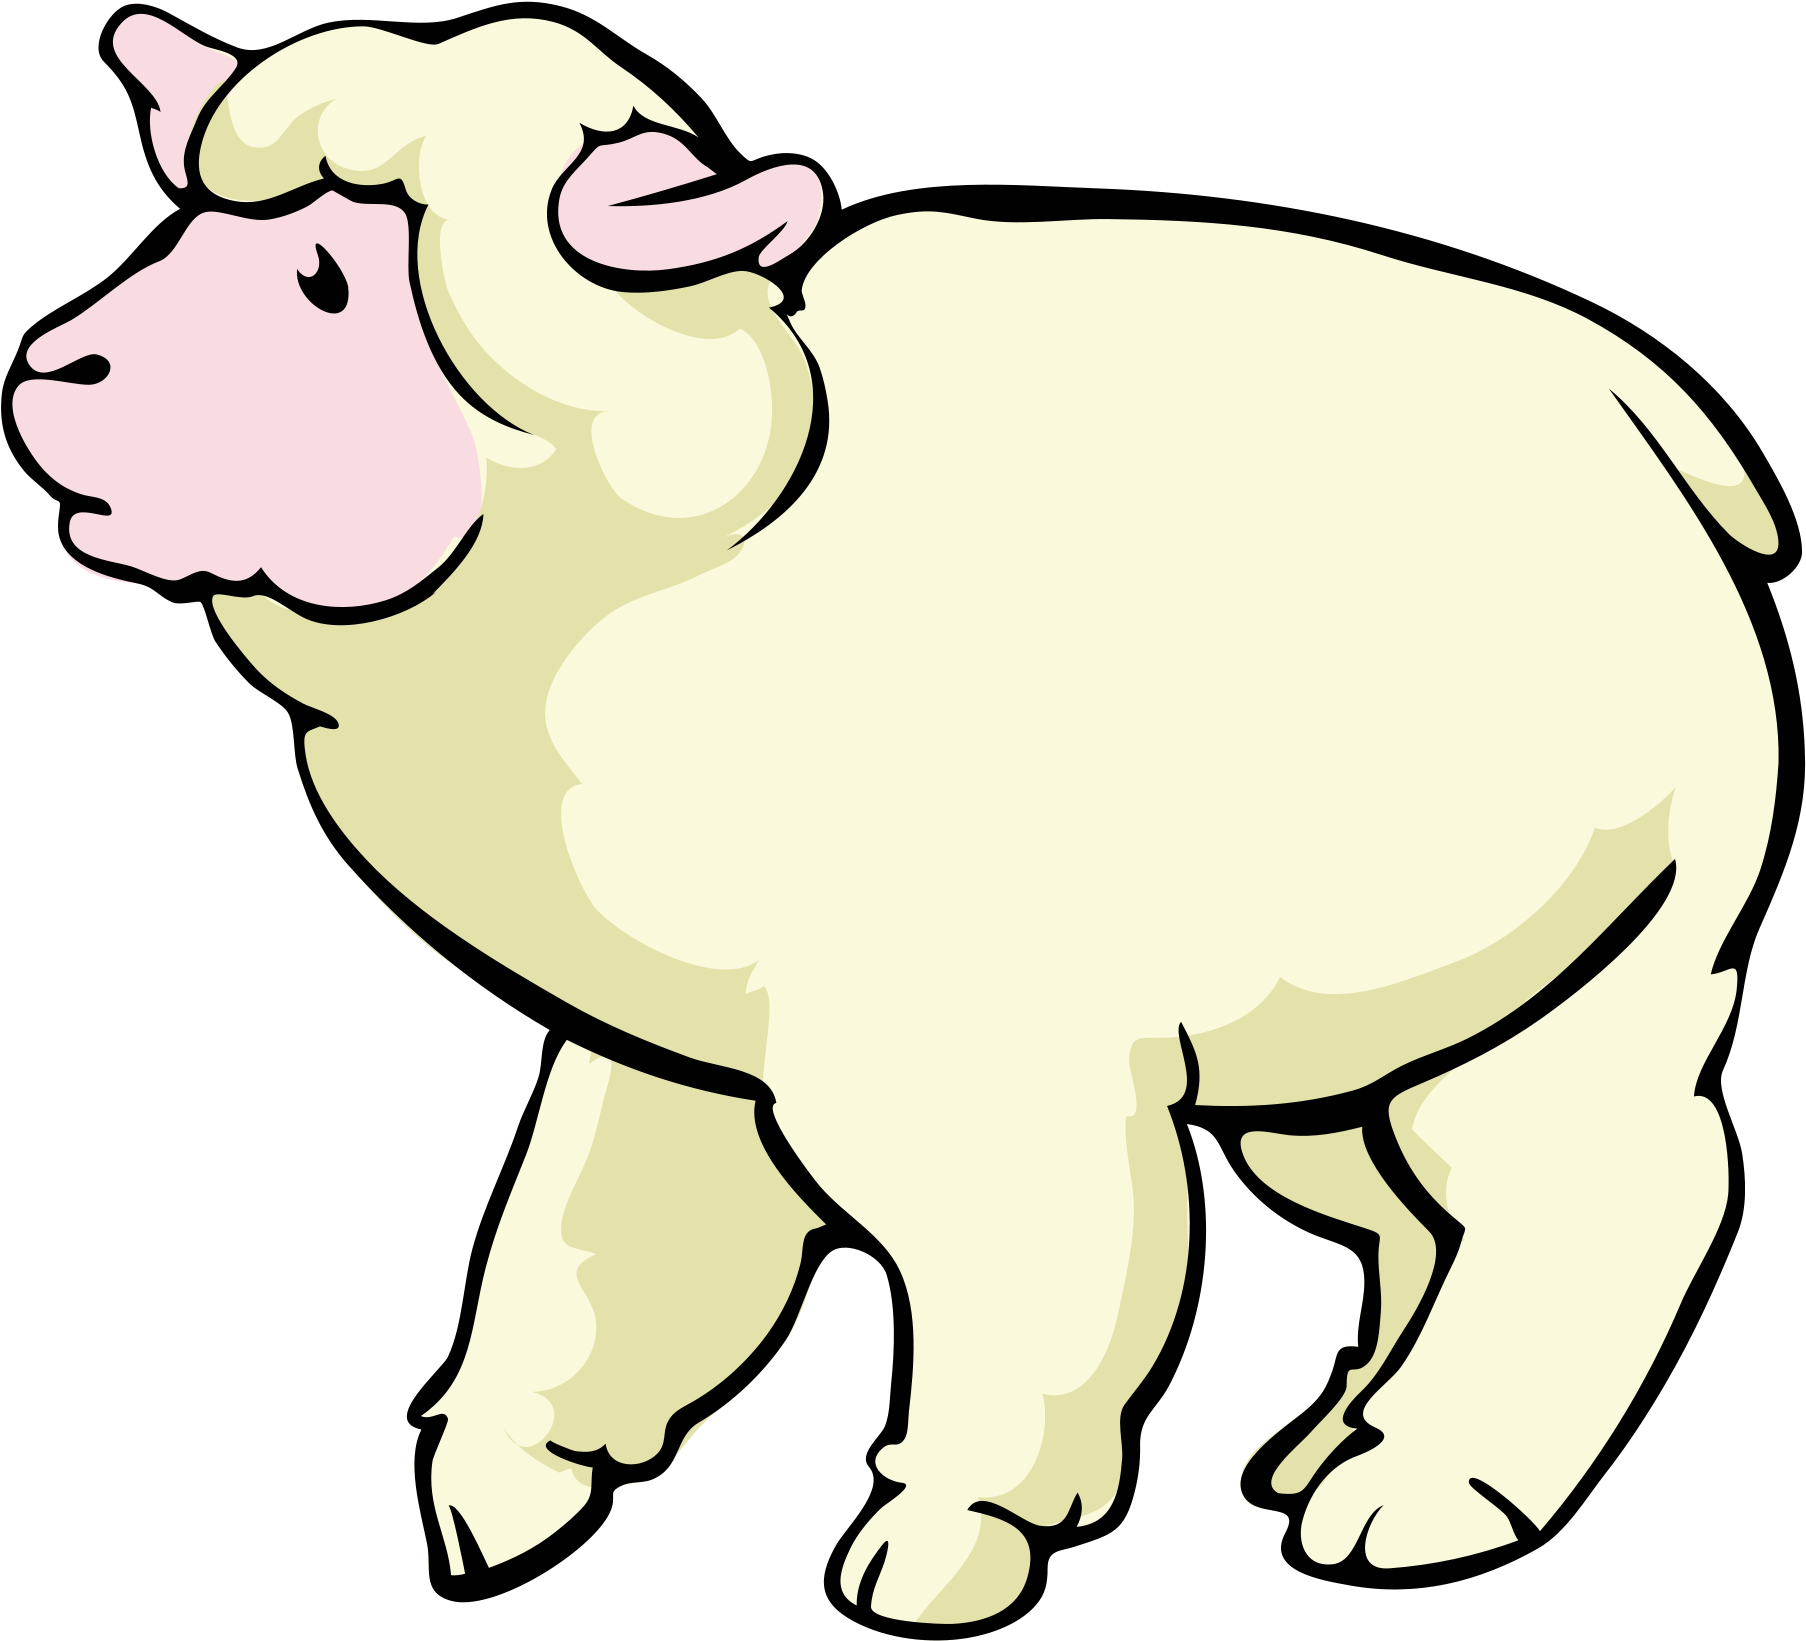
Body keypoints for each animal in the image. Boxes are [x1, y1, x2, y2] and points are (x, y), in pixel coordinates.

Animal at [6, 5, 1796, 1629]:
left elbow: (1020, 1300)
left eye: (329, 277)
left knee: (1601, 1186)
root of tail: (1635, 416)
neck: (701, 542)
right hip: (1331, 1064)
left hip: (1581, 993)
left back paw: (1428, 1489)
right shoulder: (674, 1067)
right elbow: (579, 1255)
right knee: (1411, 1222)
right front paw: (500, 1491)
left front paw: (948, 1539)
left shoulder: (976, 1075)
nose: (57, 373)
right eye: (200, 230)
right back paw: (1333, 1443)